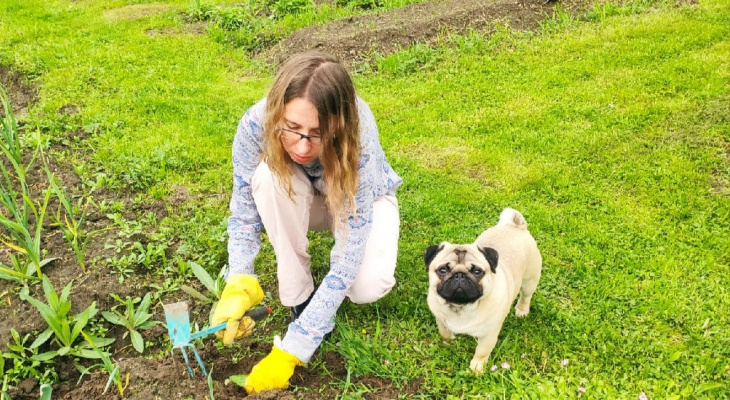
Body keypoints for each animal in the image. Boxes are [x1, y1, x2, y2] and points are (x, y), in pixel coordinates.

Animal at [420, 208, 540, 374]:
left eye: (477, 271)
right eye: (442, 270)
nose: (459, 275)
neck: (461, 307)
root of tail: (516, 227)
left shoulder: (489, 334)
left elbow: (482, 351)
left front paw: (477, 368)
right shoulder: (441, 320)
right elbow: (444, 333)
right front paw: (448, 343)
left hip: (529, 280)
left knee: (525, 296)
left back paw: (521, 310)